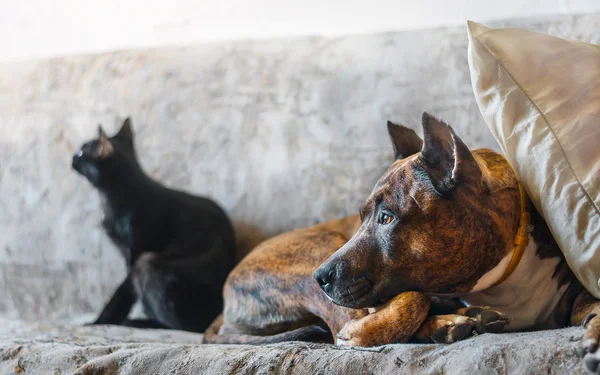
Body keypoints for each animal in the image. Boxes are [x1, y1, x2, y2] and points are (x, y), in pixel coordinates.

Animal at [71, 119, 236, 334]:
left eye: (82, 152)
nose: (72, 157)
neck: (112, 197)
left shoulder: (135, 258)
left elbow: (119, 298)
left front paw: (98, 322)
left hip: (147, 262)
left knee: (187, 326)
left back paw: (138, 323)